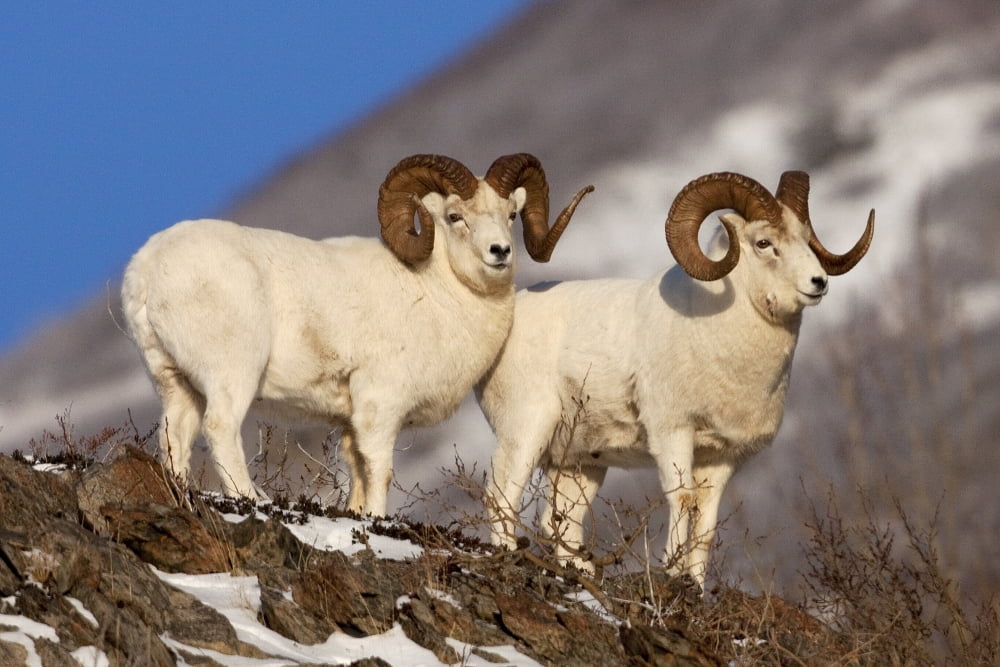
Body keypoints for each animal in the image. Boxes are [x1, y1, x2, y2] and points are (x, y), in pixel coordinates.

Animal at [121, 153, 593, 515]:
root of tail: (147, 269)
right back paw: (252, 500)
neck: (435, 293)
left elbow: (358, 478)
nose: (500, 252)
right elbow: (380, 472)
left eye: (511, 215)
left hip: (176, 385)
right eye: (454, 216)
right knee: (221, 430)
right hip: (232, 375)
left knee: (175, 440)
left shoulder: (350, 423)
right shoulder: (380, 408)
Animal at [476, 170, 873, 587]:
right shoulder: (672, 434)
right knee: (501, 496)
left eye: (805, 236)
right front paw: (670, 572)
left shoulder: (721, 458)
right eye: (764, 243)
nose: (818, 282)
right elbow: (682, 500)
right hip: (526, 432)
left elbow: (706, 520)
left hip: (579, 465)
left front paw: (695, 586)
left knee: (561, 522)